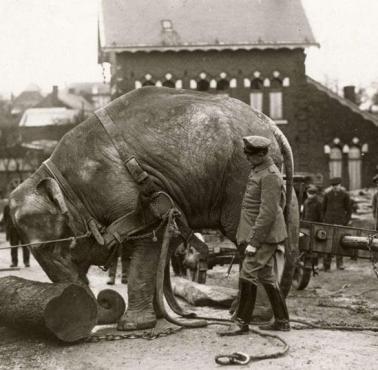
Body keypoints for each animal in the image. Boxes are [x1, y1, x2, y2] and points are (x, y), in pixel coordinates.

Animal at [8, 86, 298, 330]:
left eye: (48, 248)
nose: (102, 300)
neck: (61, 179)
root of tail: (272, 126)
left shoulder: (127, 191)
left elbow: (149, 238)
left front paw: (132, 326)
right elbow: (162, 247)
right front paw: (160, 318)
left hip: (241, 179)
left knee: (247, 239)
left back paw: (251, 317)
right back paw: (242, 313)